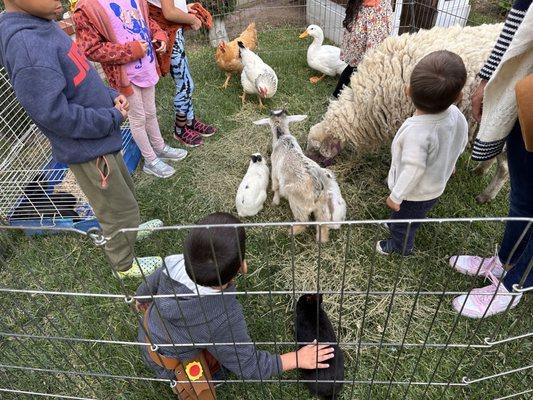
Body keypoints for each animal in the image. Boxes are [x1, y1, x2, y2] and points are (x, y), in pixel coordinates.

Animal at [254, 109, 344, 242]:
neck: (282, 137)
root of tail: (319, 190)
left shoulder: (274, 172)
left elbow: (275, 187)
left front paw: (275, 201)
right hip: (322, 209)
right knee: (323, 228)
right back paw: (320, 240)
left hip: (297, 204)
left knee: (303, 223)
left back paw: (290, 232)